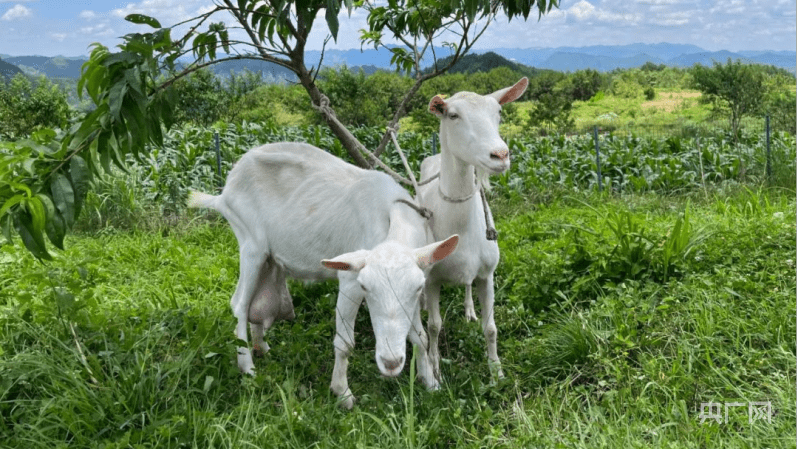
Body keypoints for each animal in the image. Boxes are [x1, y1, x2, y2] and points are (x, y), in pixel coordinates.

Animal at [189, 142, 462, 408]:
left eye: (418, 288)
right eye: (365, 287)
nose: (391, 362)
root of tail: (225, 191)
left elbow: (420, 337)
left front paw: (430, 381)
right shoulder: (350, 281)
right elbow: (345, 343)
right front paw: (342, 393)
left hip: (267, 256)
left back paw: (261, 347)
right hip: (249, 242)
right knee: (240, 304)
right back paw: (247, 366)